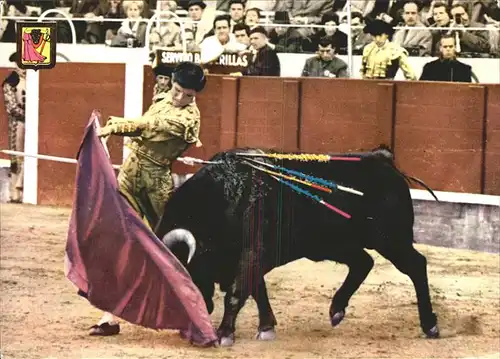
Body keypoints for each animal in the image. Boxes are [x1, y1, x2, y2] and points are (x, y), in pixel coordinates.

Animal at [154, 146, 440, 346]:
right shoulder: (253, 258)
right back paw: (336, 311)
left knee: (416, 265)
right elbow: (258, 290)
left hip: (391, 240)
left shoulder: (253, 253)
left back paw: (430, 326)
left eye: (183, 273)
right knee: (363, 262)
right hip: (333, 244)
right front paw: (266, 328)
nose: (185, 327)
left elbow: (238, 292)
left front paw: (224, 334)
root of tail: (382, 158)